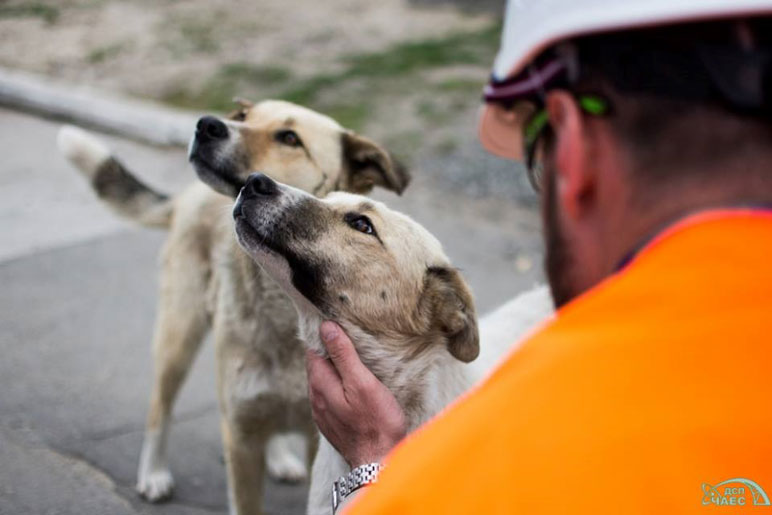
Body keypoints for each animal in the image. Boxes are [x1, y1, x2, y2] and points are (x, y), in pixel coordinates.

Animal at [56, 99, 408, 512]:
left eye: (289, 138)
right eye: (242, 116)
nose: (207, 125)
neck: (288, 310)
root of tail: (188, 194)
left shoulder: (321, 441)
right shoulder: (239, 435)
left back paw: (278, 458)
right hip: (179, 336)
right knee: (160, 408)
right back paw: (154, 474)